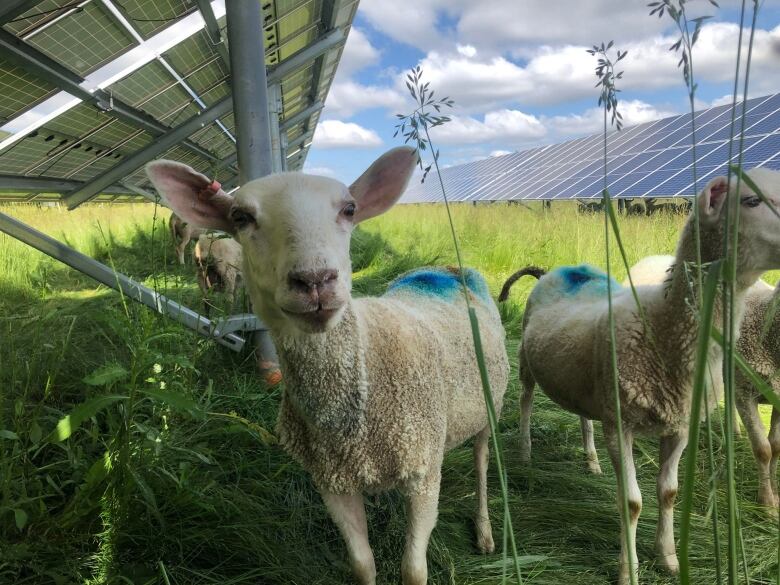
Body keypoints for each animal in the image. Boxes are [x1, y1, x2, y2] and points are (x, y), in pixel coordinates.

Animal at [146, 148, 512, 584]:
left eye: (349, 209)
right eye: (241, 217)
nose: (315, 280)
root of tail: (445, 269)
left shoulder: (424, 473)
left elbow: (413, 570)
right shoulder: (332, 481)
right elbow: (362, 563)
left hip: (488, 406)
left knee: (483, 463)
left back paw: (485, 531)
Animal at [502, 168, 780, 584]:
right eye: (751, 200)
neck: (662, 328)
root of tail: (558, 269)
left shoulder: (679, 426)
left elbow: (669, 493)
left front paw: (668, 558)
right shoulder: (621, 426)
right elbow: (631, 502)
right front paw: (628, 570)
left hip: (589, 381)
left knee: (583, 416)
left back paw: (591, 461)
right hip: (526, 362)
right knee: (524, 400)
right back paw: (524, 452)